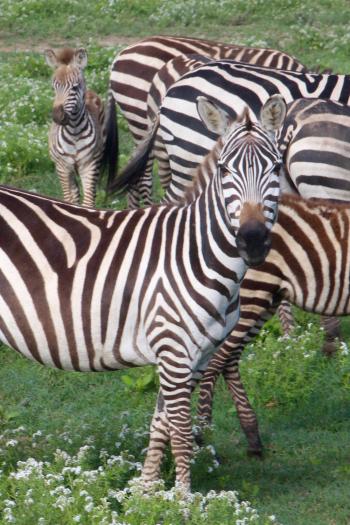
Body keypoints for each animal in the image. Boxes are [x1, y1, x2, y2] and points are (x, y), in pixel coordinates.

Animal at [0, 96, 284, 490]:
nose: (253, 239)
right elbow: (180, 431)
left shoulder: (193, 356)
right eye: (225, 170)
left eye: (276, 168)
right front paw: (183, 498)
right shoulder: (174, 349)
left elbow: (161, 424)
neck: (197, 252)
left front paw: (147, 490)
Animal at [44, 46, 115, 207]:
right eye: (54, 87)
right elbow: (69, 199)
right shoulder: (63, 168)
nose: (57, 116)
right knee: (74, 194)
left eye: (75, 87)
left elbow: (88, 201)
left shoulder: (89, 165)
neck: (74, 133)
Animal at [197, 192, 350, 454]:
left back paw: (252, 437)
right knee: (216, 362)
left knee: (229, 360)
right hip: (252, 294)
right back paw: (204, 438)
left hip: (266, 298)